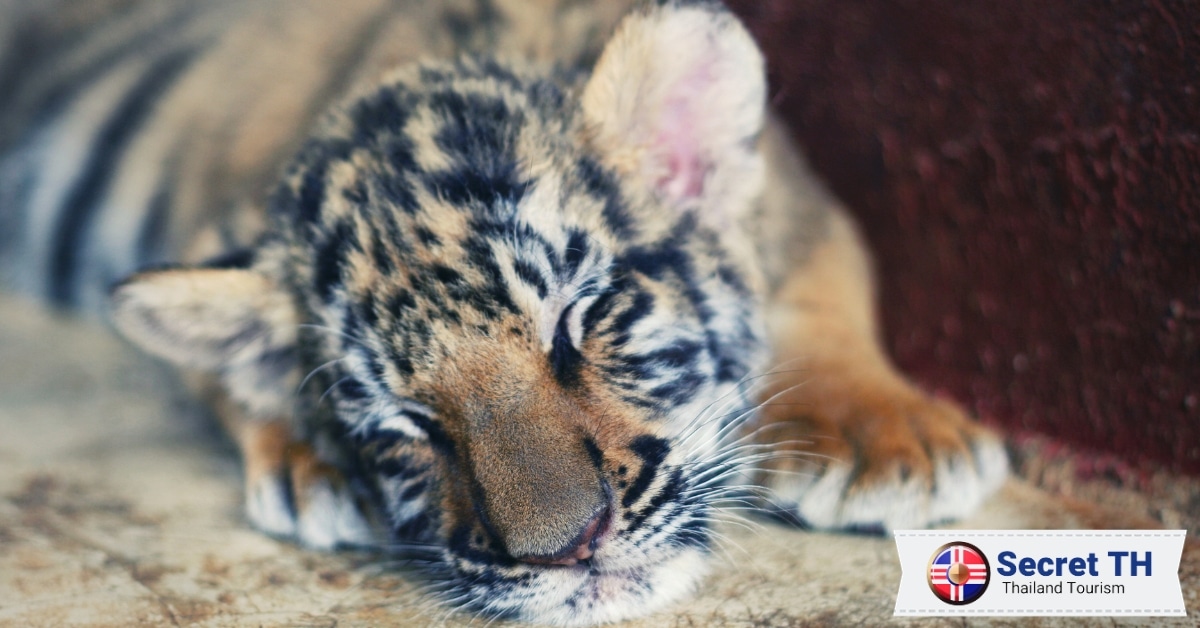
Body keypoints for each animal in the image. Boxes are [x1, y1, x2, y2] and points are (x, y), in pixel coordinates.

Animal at [0, 0, 1010, 624]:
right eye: (408, 425)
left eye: (580, 320)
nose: (568, 555)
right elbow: (220, 370)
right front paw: (305, 463)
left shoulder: (802, 203)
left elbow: (825, 297)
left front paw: (891, 439)